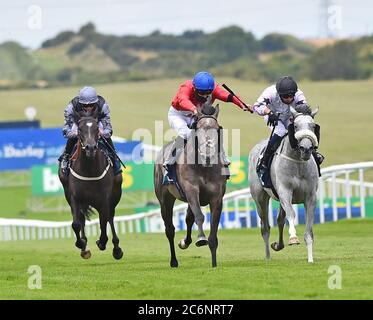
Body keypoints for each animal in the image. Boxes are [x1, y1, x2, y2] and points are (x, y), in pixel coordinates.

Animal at [57, 109, 123, 258]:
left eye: (97, 129)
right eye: (80, 129)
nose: (90, 148)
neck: (89, 170)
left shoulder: (104, 199)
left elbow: (104, 221)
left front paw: (102, 242)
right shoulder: (75, 198)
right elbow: (76, 223)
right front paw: (81, 243)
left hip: (115, 194)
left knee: (110, 217)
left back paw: (116, 248)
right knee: (81, 218)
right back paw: (84, 246)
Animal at [153, 104, 227, 268]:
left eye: (217, 129)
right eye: (198, 128)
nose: (207, 153)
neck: (204, 166)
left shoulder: (216, 198)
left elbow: (213, 229)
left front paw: (214, 263)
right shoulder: (191, 190)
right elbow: (199, 216)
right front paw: (201, 238)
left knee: (188, 219)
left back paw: (185, 242)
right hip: (165, 199)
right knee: (170, 229)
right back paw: (174, 261)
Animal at [248, 107, 318, 262]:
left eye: (312, 126)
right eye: (296, 126)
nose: (306, 148)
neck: (298, 163)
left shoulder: (310, 196)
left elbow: (309, 228)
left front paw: (310, 258)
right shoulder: (285, 192)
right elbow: (291, 214)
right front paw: (293, 238)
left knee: (279, 220)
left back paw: (277, 245)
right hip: (260, 199)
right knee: (265, 227)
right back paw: (268, 256)